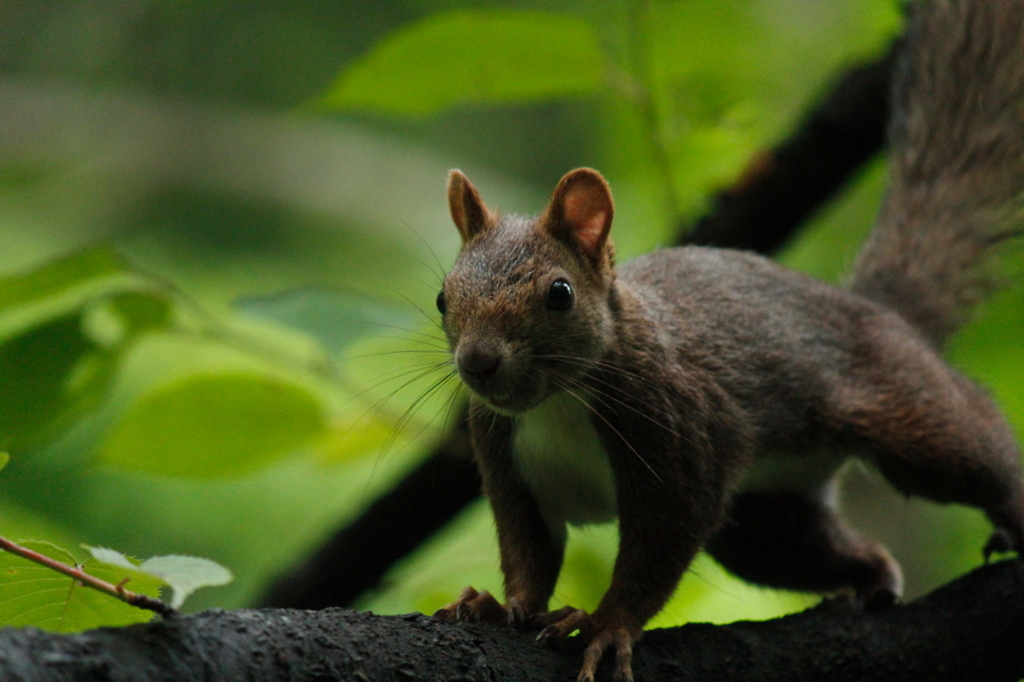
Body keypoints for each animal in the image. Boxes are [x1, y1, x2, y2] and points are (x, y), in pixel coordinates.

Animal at [432, 1, 1024, 679]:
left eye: (560, 293)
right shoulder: (505, 459)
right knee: (826, 547)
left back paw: (1012, 510)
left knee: (975, 444)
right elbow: (528, 548)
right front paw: (502, 608)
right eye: (443, 298)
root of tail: (872, 307)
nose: (477, 362)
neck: (559, 402)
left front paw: (605, 627)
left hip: (907, 413)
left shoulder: (684, 435)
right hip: (763, 522)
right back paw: (873, 579)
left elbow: (655, 552)